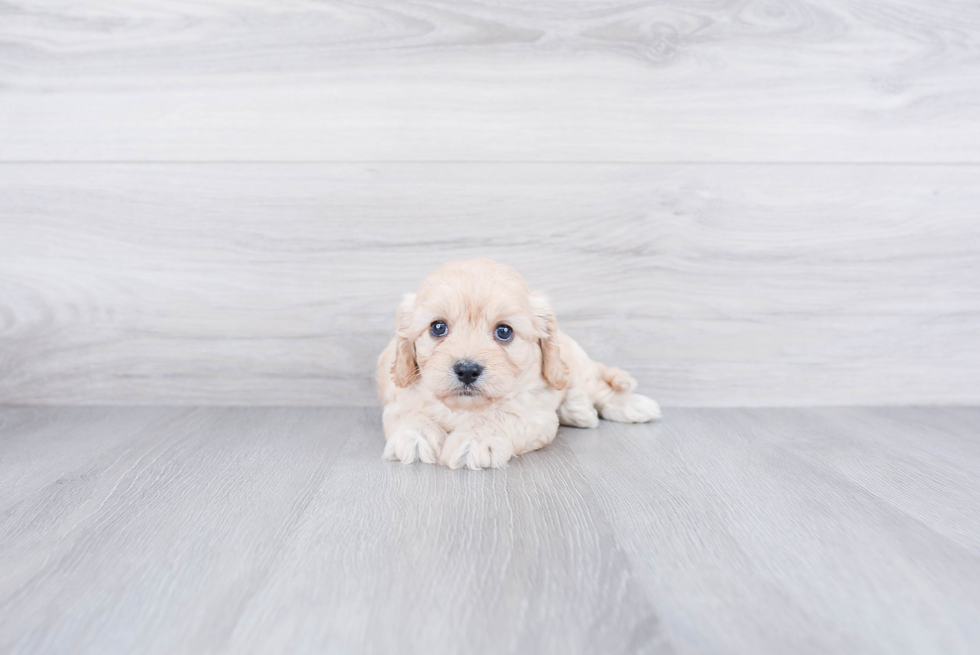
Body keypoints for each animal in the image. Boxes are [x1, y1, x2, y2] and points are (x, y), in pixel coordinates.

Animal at [376, 258, 660, 468]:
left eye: (504, 331)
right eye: (438, 327)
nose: (467, 370)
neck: (465, 407)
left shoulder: (532, 411)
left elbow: (499, 415)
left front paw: (475, 440)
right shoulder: (398, 398)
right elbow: (413, 413)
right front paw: (414, 436)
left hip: (575, 366)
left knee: (599, 388)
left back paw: (633, 405)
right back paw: (578, 408)